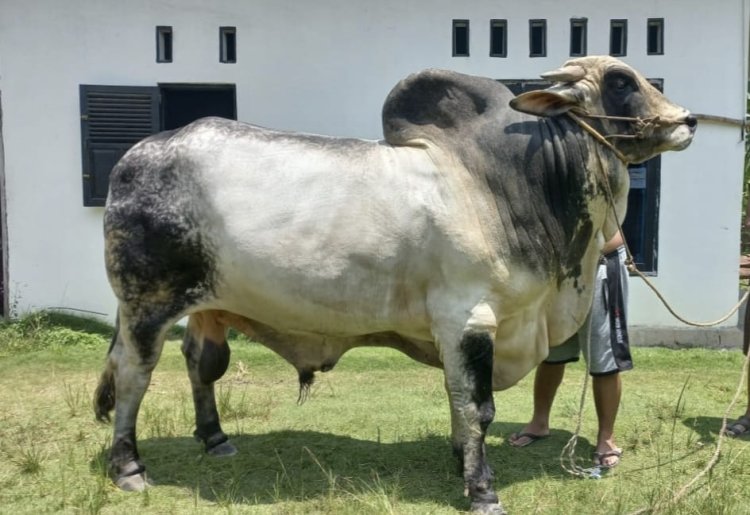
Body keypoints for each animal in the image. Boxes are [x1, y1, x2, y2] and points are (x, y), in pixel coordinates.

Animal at [95, 54, 700, 512]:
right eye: (621, 82)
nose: (689, 120)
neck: (505, 186)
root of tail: (132, 159)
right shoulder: (468, 318)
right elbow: (477, 406)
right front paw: (482, 490)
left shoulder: (460, 330)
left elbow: (458, 401)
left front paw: (460, 462)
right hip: (146, 305)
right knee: (133, 375)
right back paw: (129, 467)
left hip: (209, 305)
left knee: (203, 364)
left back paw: (215, 439)